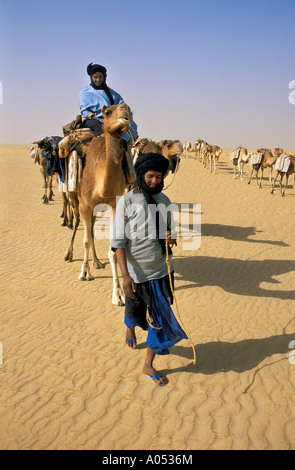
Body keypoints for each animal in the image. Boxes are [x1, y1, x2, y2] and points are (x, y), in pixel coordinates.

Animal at [65, 102, 135, 304]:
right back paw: (70, 254)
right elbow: (85, 241)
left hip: (97, 209)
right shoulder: (85, 204)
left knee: (91, 229)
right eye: (108, 112)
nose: (125, 112)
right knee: (79, 224)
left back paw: (96, 262)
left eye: (130, 111)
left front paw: (118, 294)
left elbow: (112, 249)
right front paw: (84, 273)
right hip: (75, 199)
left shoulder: (114, 204)